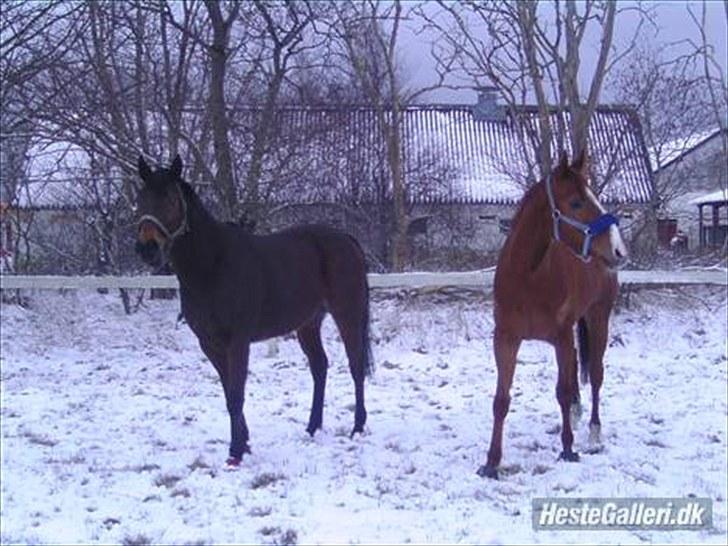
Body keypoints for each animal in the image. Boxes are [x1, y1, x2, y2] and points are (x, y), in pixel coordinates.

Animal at [134, 155, 372, 466]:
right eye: (141, 199)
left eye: (171, 200)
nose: (147, 249)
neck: (213, 266)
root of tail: (346, 238)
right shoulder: (210, 344)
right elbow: (228, 393)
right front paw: (244, 444)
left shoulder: (237, 342)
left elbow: (236, 395)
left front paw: (235, 452)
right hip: (308, 323)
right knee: (320, 367)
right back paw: (312, 428)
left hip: (348, 314)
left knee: (356, 365)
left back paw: (357, 428)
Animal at [480, 151, 628, 478]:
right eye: (576, 202)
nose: (618, 250)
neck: (528, 277)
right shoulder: (505, 339)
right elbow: (501, 400)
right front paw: (491, 462)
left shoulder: (560, 337)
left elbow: (562, 389)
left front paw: (568, 449)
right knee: (575, 368)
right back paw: (574, 412)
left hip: (599, 318)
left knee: (595, 374)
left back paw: (593, 430)